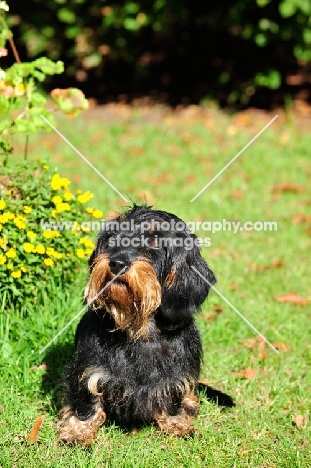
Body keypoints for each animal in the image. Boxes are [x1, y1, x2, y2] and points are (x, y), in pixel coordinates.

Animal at [59, 206, 218, 446]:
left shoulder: (175, 379)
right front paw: (79, 431)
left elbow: (173, 397)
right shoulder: (88, 372)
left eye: (154, 242)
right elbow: (87, 402)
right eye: (112, 237)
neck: (138, 330)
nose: (116, 262)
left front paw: (176, 423)